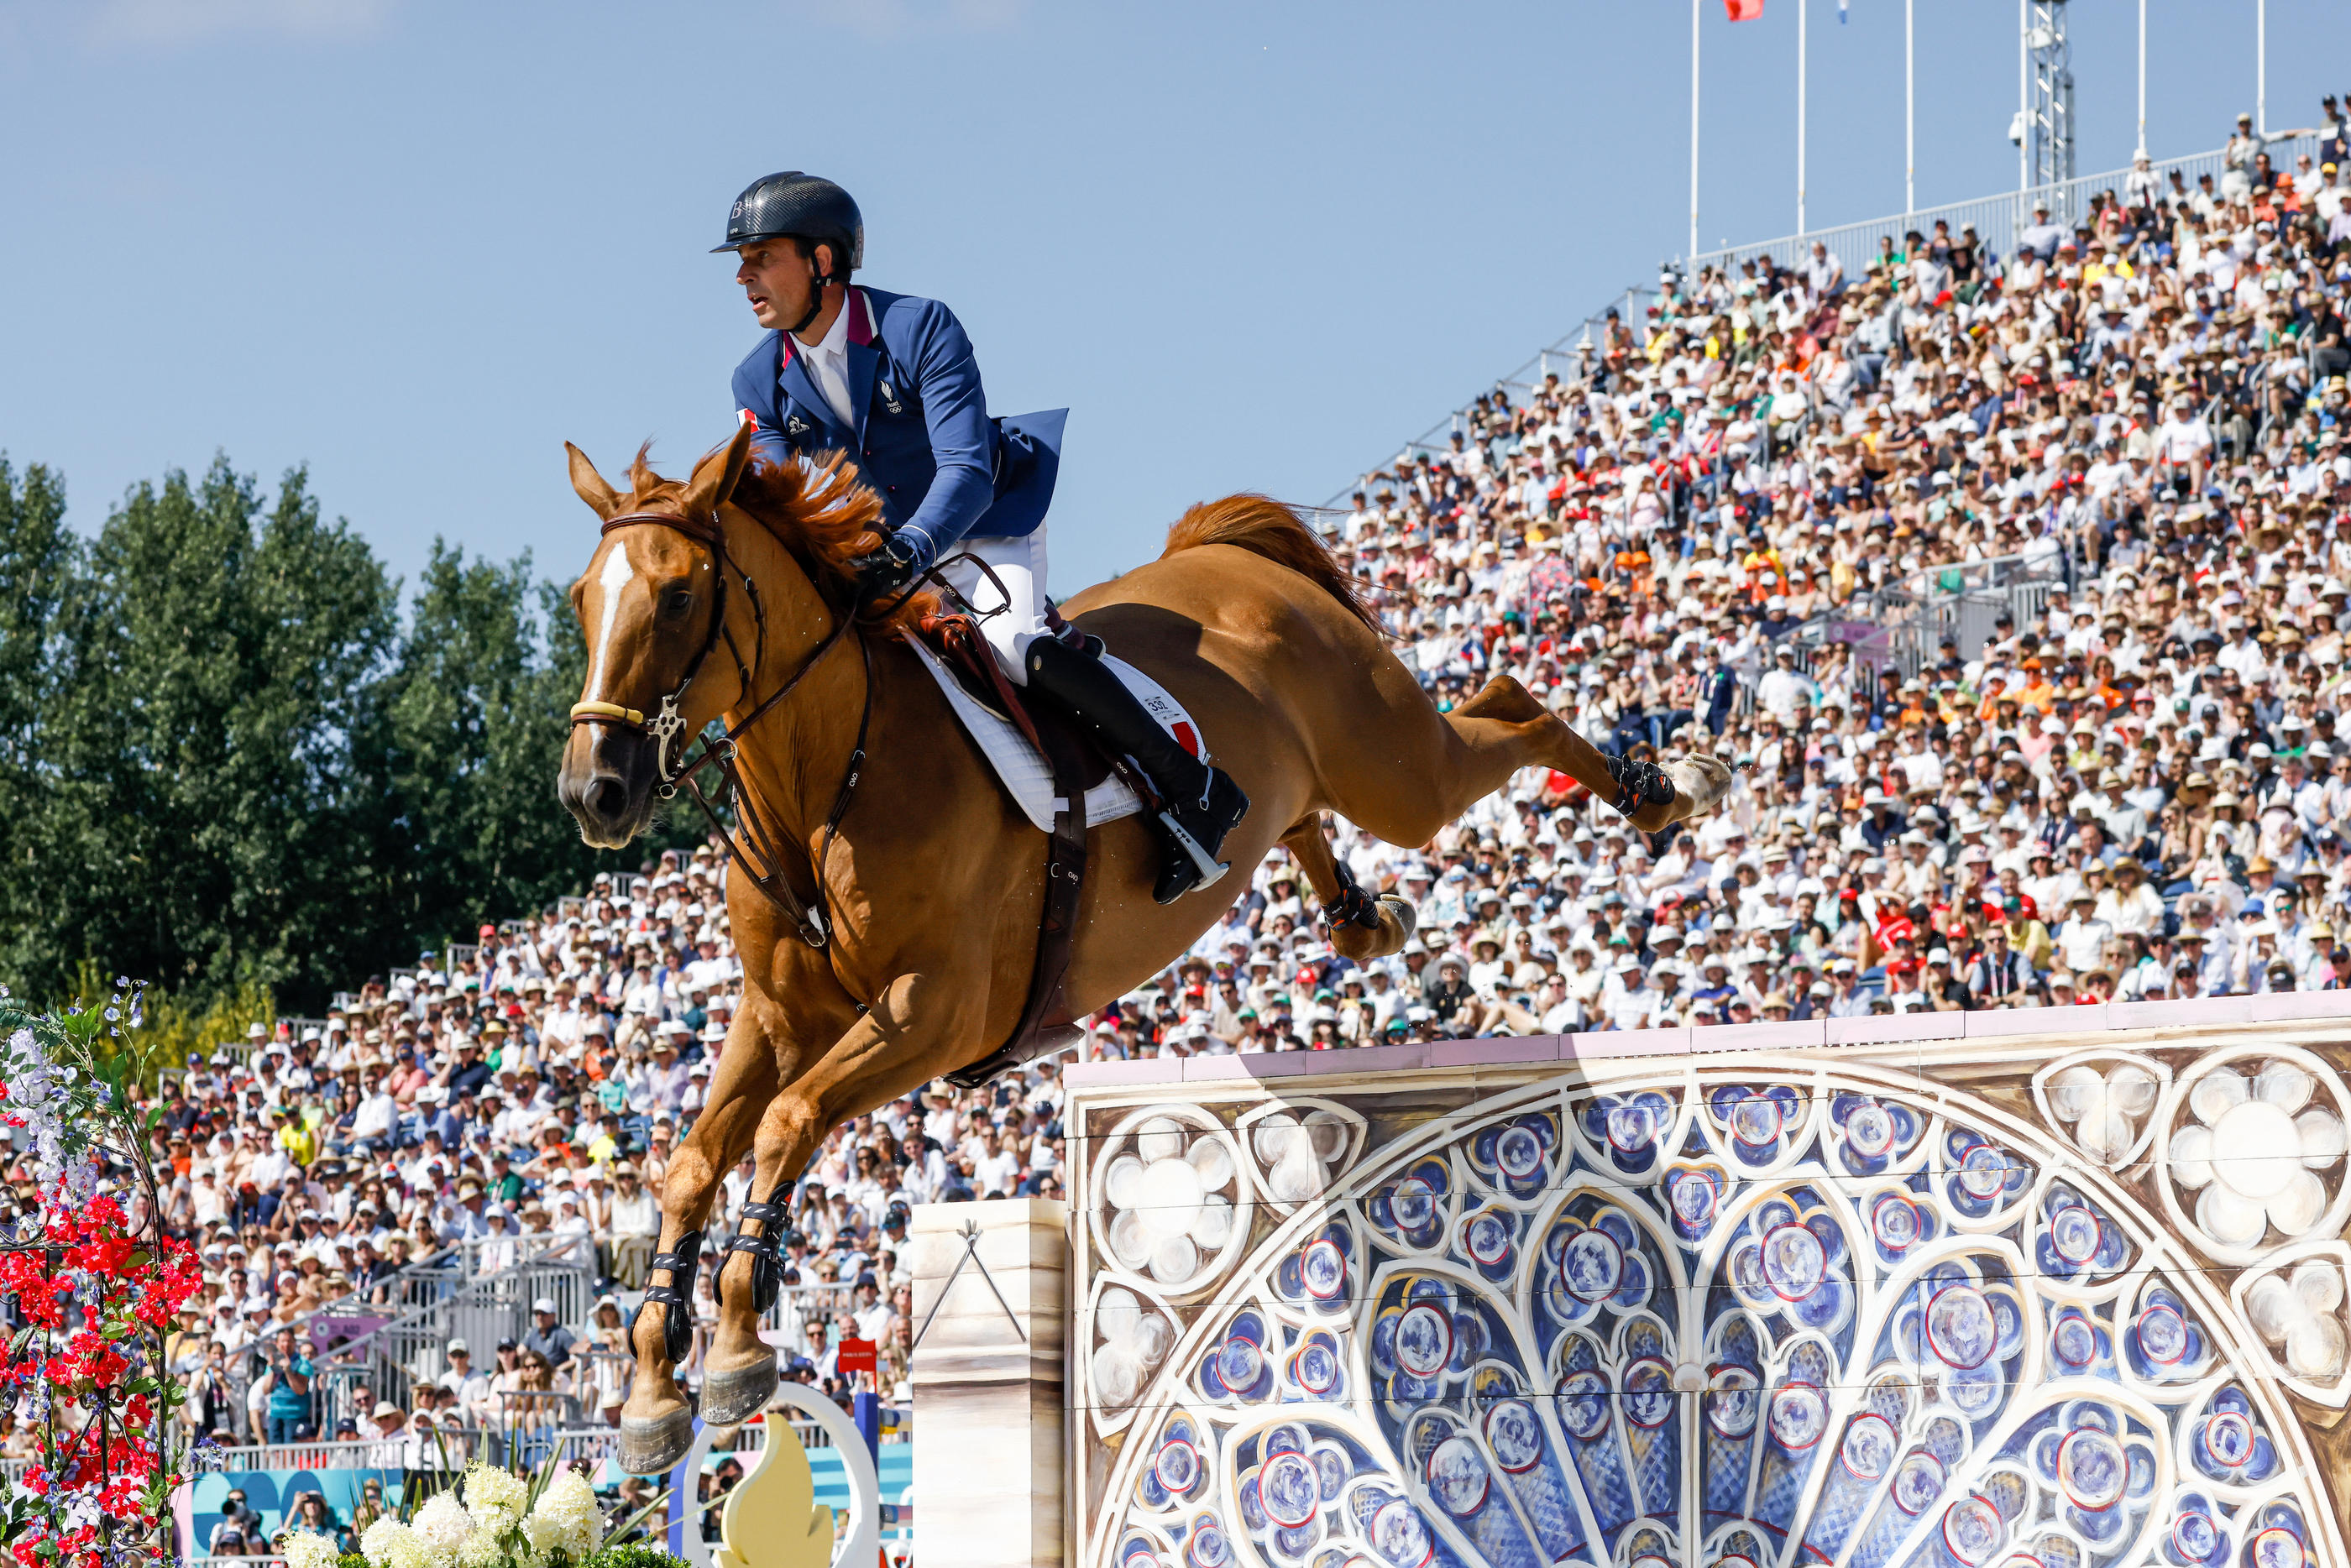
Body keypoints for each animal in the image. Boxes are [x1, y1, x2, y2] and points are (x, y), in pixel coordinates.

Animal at [550, 421, 1730, 1476]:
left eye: (678, 596)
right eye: (581, 600)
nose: (592, 792)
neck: (828, 778)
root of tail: (1230, 555)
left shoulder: (934, 1012)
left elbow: (786, 1124)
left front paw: (737, 1344)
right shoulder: (779, 1016)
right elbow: (695, 1160)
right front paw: (654, 1390)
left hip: (1397, 772)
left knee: (1508, 708)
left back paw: (1667, 789)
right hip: (1333, 779)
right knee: (1302, 814)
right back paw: (1357, 910)